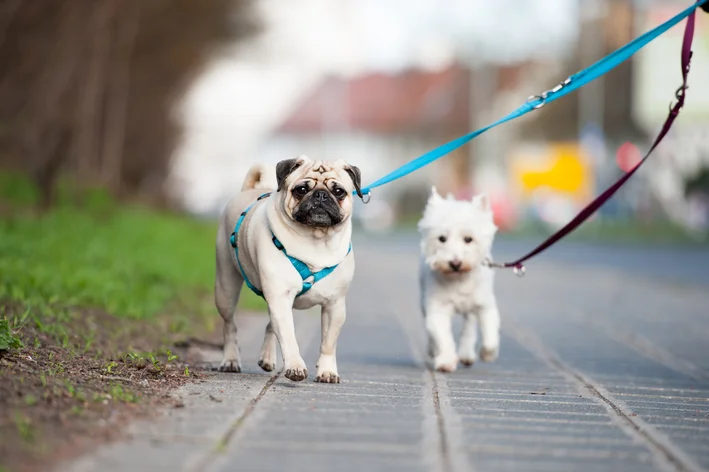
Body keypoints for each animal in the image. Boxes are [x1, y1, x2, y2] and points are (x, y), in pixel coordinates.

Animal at [214, 155, 360, 384]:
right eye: (301, 189)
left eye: (338, 191)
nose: (320, 195)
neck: (316, 240)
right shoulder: (280, 297)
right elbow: (289, 337)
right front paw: (295, 367)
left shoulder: (334, 306)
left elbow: (328, 343)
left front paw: (327, 371)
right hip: (225, 289)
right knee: (230, 326)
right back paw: (230, 361)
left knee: (269, 326)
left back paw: (266, 358)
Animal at [418, 187, 500, 372]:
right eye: (442, 238)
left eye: (468, 239)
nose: (455, 263)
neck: (459, 278)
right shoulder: (437, 308)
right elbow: (442, 336)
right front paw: (446, 361)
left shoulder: (485, 305)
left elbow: (490, 334)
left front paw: (487, 354)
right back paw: (433, 351)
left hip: (471, 308)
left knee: (469, 326)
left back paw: (467, 354)